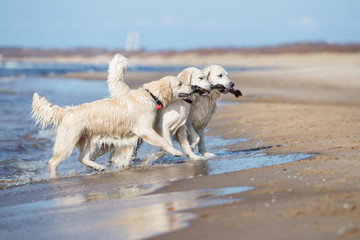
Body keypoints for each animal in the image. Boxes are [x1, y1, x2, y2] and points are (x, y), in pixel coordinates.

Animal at [31, 72, 194, 177]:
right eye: (180, 83)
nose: (192, 87)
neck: (150, 96)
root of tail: (66, 111)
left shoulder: (132, 136)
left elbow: (128, 155)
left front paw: (125, 167)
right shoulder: (144, 130)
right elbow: (163, 141)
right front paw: (176, 151)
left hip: (89, 141)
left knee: (82, 158)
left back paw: (99, 167)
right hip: (67, 143)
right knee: (53, 162)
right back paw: (55, 178)